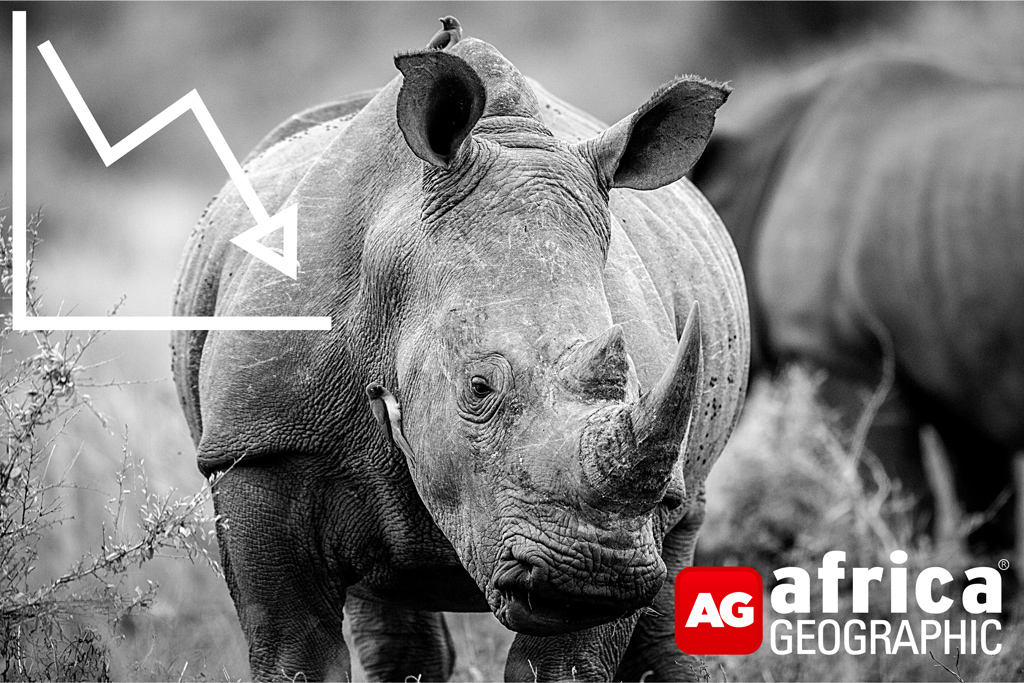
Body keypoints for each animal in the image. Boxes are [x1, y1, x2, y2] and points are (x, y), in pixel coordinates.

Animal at [172, 37, 749, 683]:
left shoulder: (647, 507)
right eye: (478, 387)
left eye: (634, 384)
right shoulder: (261, 444)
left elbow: (564, 666)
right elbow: (294, 650)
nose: (593, 574)